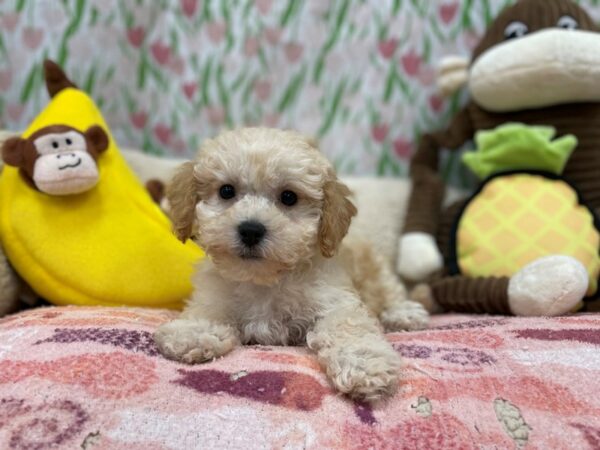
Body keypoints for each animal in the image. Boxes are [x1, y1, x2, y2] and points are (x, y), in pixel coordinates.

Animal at [154, 128, 426, 402]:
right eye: (226, 191)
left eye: (288, 197)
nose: (250, 230)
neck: (265, 279)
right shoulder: (216, 295)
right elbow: (207, 312)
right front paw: (193, 333)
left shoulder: (335, 301)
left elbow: (347, 326)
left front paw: (364, 364)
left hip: (376, 271)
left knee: (389, 293)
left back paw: (405, 314)